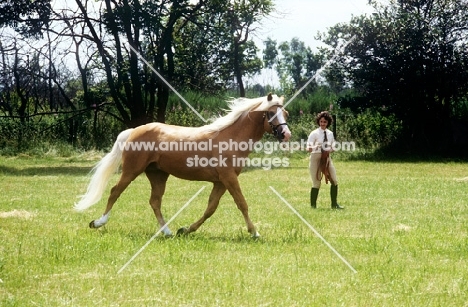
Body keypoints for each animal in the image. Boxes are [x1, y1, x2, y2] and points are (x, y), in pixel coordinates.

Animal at [73, 94, 290, 238]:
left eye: (285, 113)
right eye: (271, 113)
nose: (286, 135)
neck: (231, 137)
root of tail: (134, 130)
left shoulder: (220, 182)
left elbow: (210, 208)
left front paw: (185, 229)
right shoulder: (228, 178)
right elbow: (242, 203)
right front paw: (255, 233)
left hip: (158, 175)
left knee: (154, 202)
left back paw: (168, 232)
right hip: (131, 171)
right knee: (115, 192)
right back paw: (98, 222)